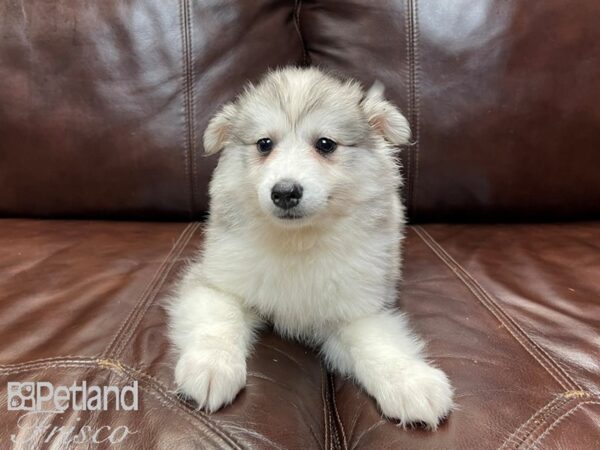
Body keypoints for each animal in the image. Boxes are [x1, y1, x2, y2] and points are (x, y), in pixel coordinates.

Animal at [166, 67, 452, 428]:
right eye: (264, 144)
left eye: (325, 144)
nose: (285, 192)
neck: (297, 240)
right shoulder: (217, 283)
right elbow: (218, 320)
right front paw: (210, 366)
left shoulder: (356, 309)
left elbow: (378, 342)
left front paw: (410, 382)